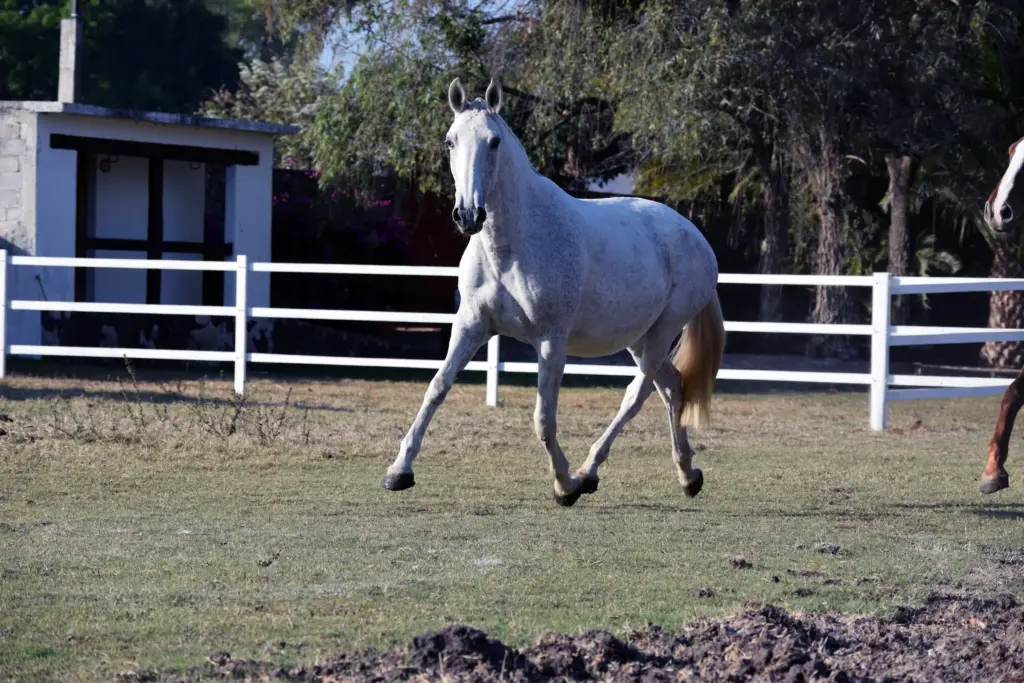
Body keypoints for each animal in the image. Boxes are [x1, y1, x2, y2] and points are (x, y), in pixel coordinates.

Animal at [381, 77, 726, 506]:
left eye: (494, 141)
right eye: (450, 141)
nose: (468, 215)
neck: (513, 245)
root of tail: (696, 237)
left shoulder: (550, 340)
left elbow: (543, 419)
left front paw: (564, 484)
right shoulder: (471, 326)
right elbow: (436, 388)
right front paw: (399, 471)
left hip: (662, 332)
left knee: (637, 393)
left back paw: (588, 471)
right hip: (639, 338)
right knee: (671, 387)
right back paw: (686, 475)